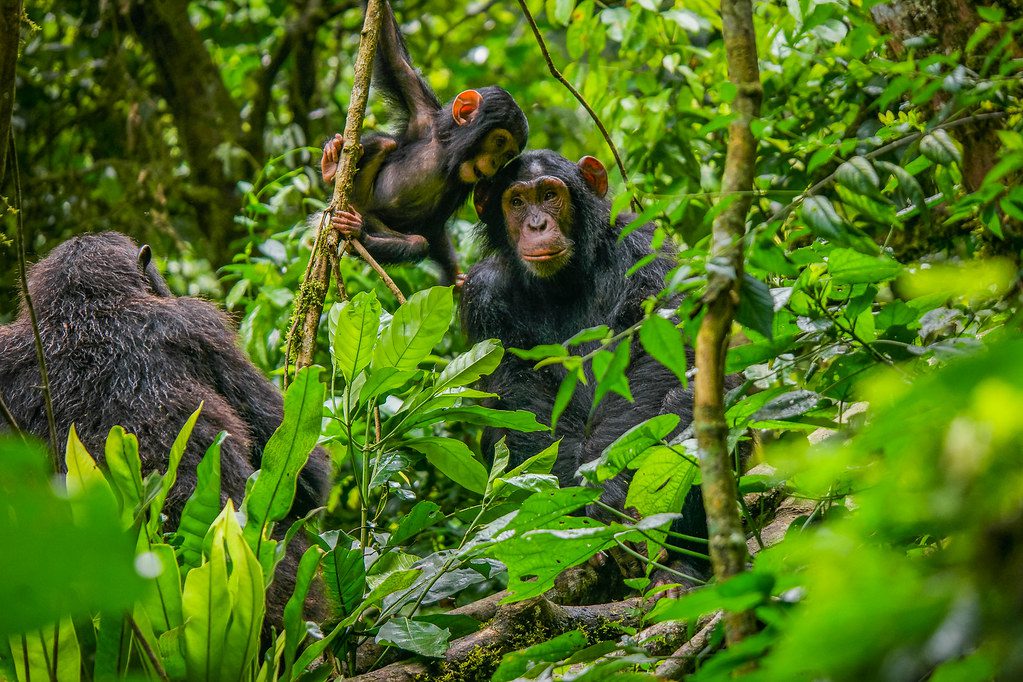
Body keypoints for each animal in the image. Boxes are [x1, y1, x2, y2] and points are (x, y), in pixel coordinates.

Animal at [319, 0, 529, 285]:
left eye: (508, 155)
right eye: (498, 142)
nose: (496, 163)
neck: (446, 151)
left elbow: (434, 229)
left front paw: (456, 278)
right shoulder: (421, 112)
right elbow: (396, 59)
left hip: (369, 219)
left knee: (417, 242)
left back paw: (358, 233)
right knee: (385, 144)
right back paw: (331, 166)